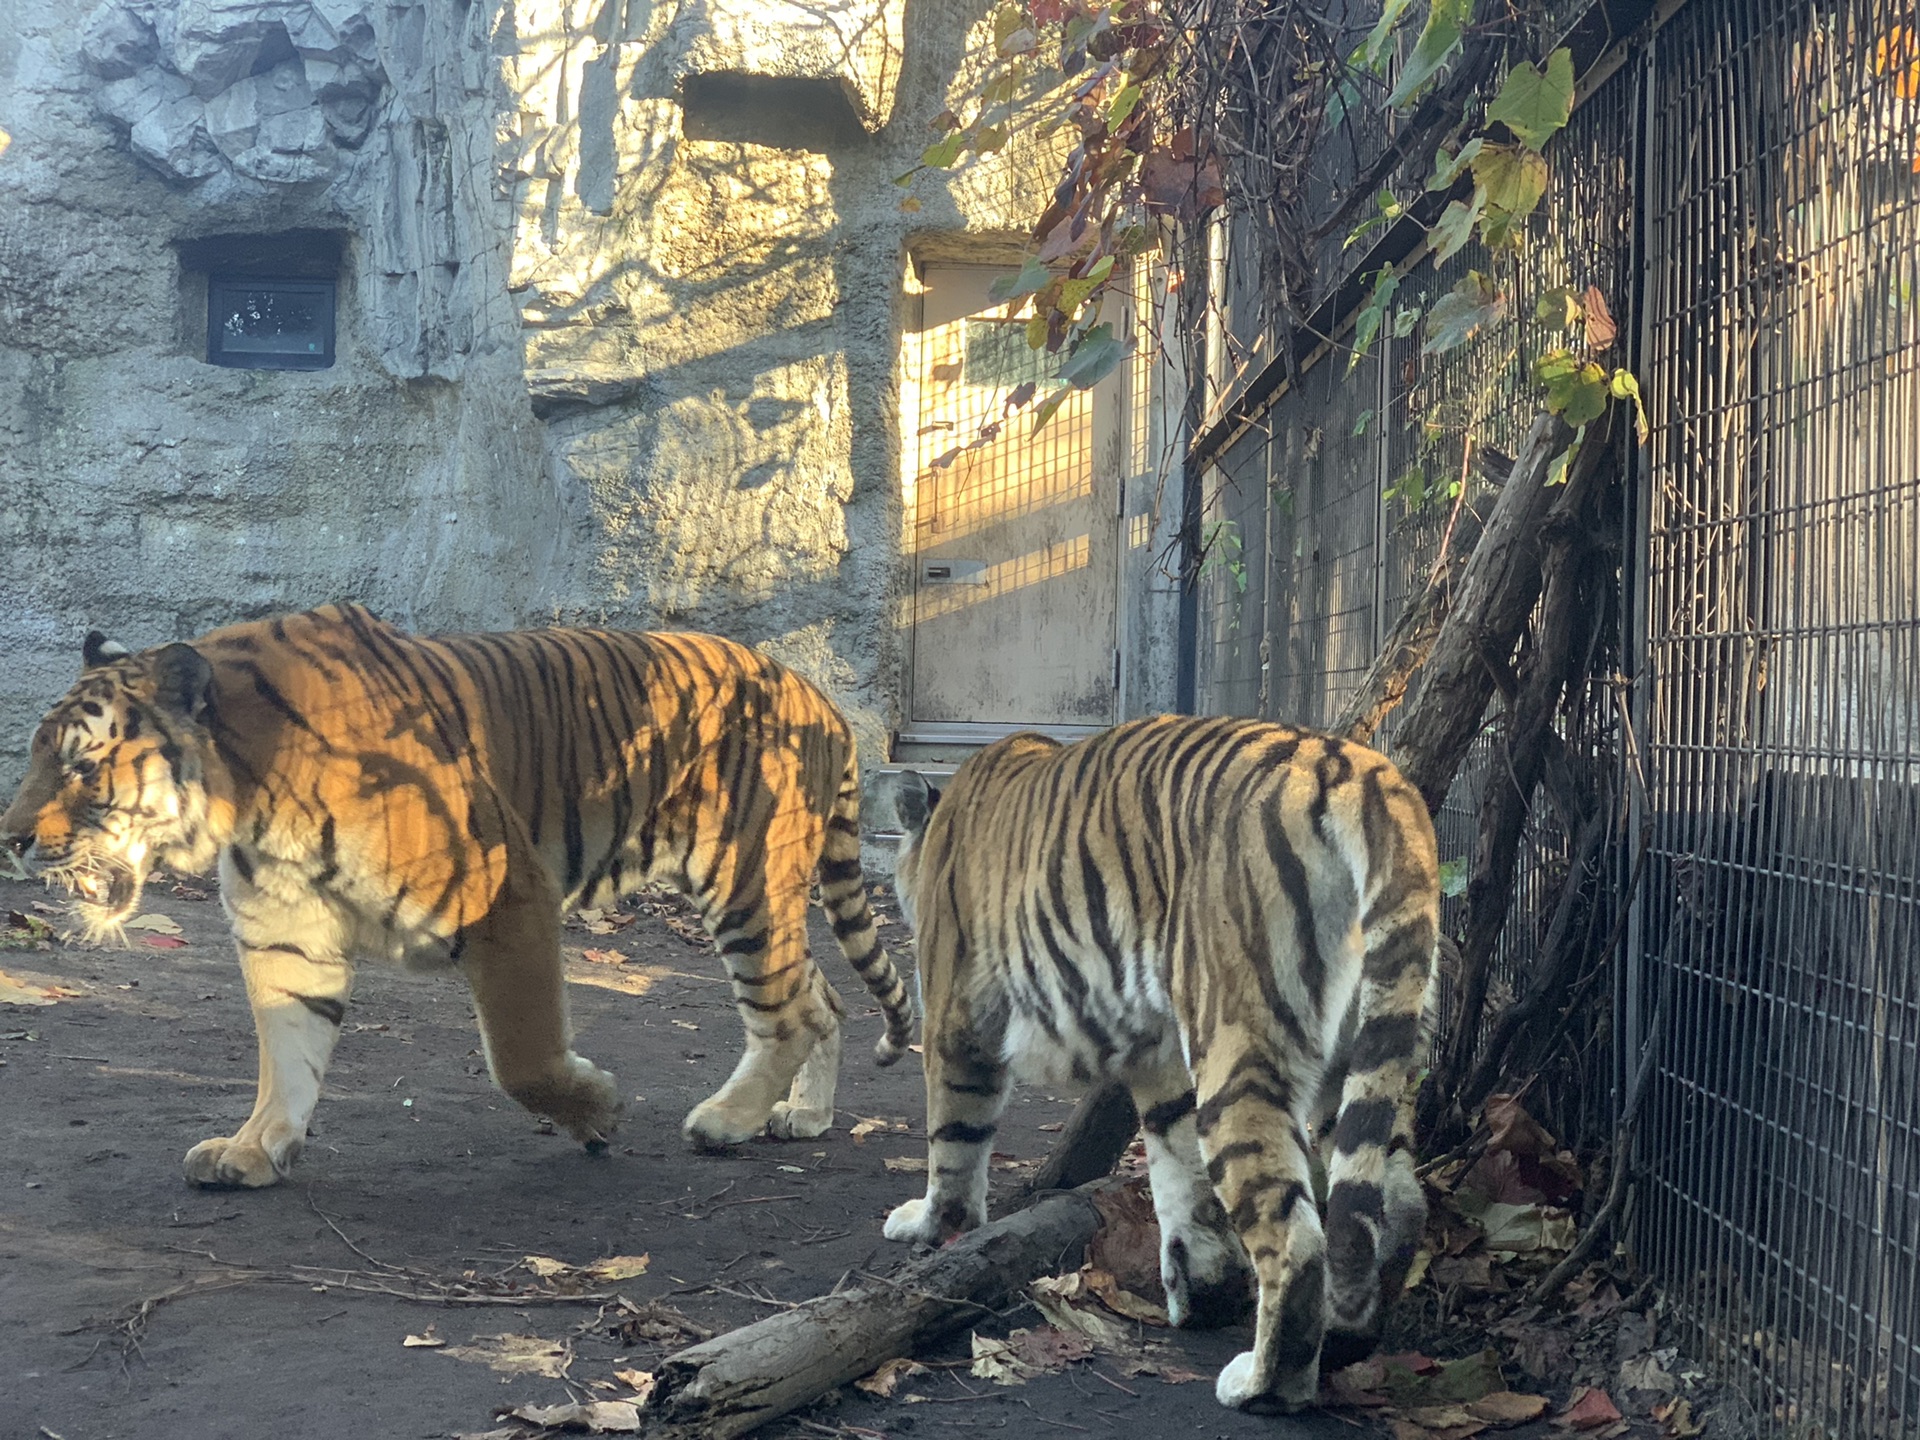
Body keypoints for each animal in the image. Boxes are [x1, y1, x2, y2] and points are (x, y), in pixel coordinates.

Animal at [0, 602, 913, 1190]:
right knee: (821, 998)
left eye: (80, 766)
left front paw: (597, 1112)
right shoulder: (286, 933)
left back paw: (727, 1120)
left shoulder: (509, 897)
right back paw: (800, 1116)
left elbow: (522, 1058)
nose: (10, 838)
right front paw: (256, 1147)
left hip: (745, 876)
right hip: (758, 894)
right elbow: (286, 1057)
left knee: (786, 1012)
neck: (248, 794)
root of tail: (819, 695)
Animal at [879, 718, 1436, 1413]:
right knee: (1397, 1204)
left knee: (1295, 1237)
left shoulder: (957, 1019)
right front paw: (1202, 1288)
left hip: (1236, 1041)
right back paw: (1345, 1341)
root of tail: (1364, 773)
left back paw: (1262, 1385)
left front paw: (928, 1225)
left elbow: (953, 1142)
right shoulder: (1162, 1055)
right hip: (1365, 1050)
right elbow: (1180, 1173)